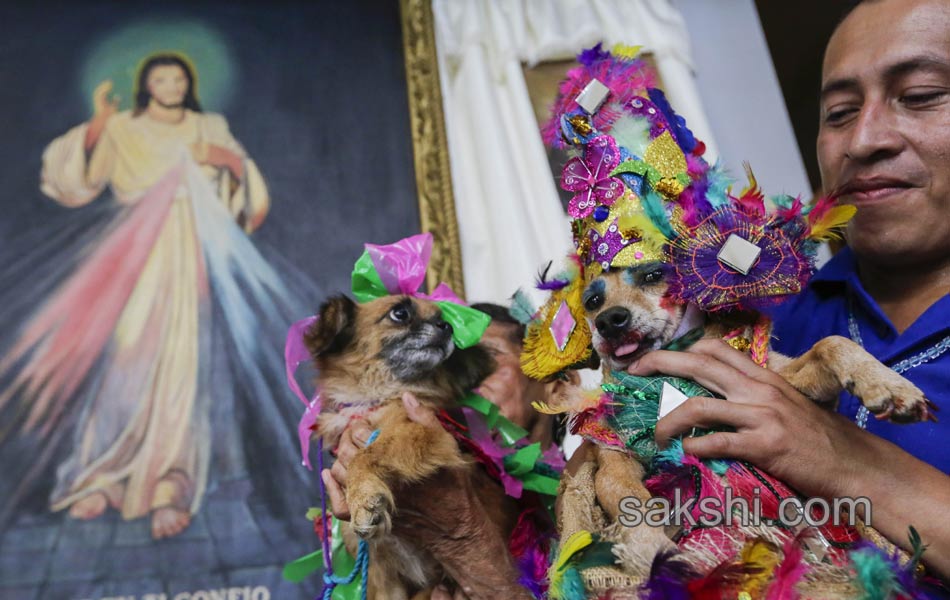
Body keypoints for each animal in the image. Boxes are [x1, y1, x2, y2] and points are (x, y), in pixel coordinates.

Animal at [306, 296, 520, 600]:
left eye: (442, 318)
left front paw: (363, 496)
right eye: (400, 313)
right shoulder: (385, 580)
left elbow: (366, 454)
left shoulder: (427, 432)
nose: (447, 327)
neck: (378, 396)